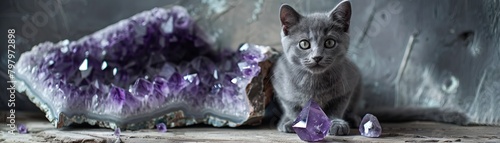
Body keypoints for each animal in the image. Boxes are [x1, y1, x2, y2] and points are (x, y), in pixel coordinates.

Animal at [272, 0, 362, 135]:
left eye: (330, 42)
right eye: (304, 44)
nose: (317, 57)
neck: (314, 80)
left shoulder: (348, 85)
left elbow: (336, 108)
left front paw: (336, 123)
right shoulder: (280, 84)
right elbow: (292, 107)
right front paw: (294, 121)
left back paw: (353, 118)